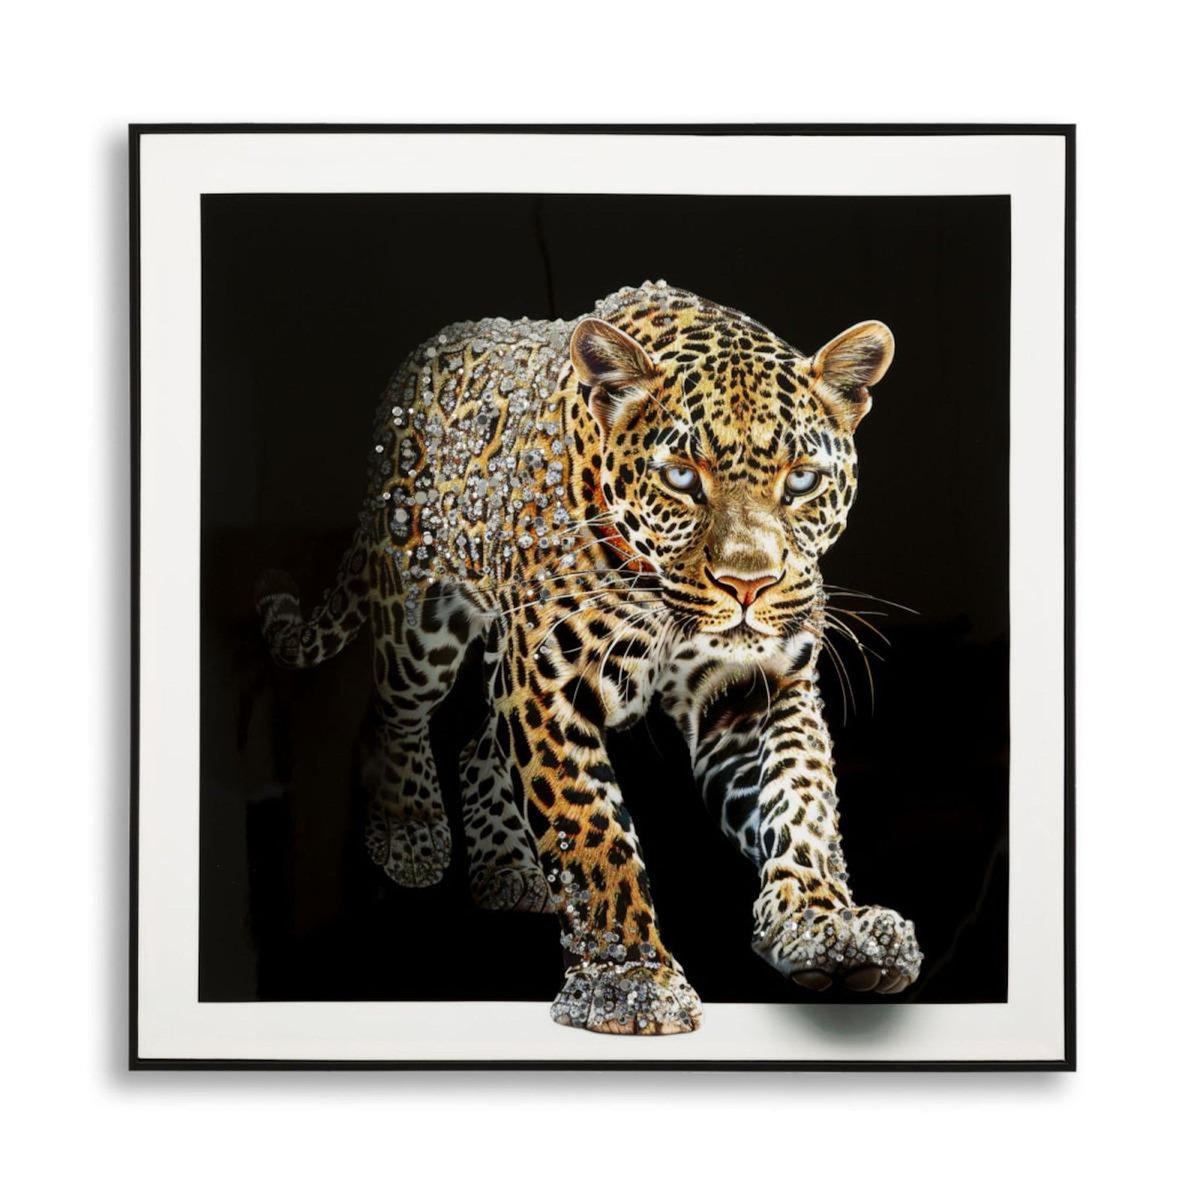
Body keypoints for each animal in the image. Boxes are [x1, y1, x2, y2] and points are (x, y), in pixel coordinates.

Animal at [255, 280, 923, 1035]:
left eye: (803, 481)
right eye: (681, 477)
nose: (747, 585)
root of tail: (423, 354)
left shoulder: (757, 687)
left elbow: (800, 799)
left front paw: (826, 928)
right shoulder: (548, 684)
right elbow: (591, 830)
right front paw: (627, 979)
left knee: (478, 743)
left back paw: (509, 870)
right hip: (419, 620)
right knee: (392, 714)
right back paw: (410, 831)